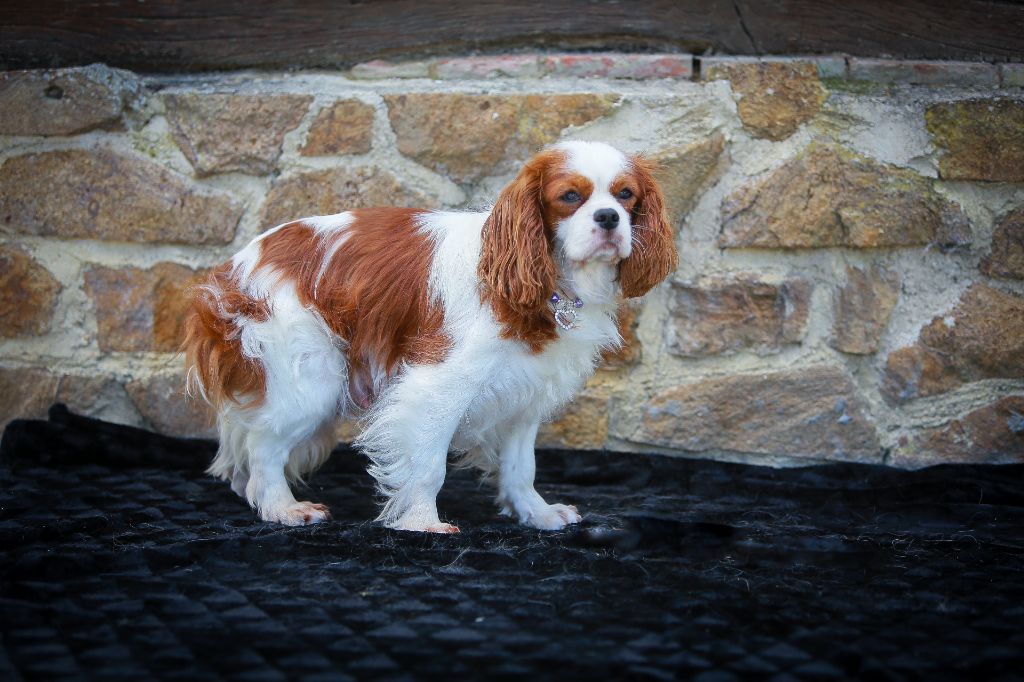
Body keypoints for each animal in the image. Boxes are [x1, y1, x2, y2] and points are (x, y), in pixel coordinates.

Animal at [184, 138, 679, 532]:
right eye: (570, 196)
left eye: (626, 195)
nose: (609, 217)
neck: (547, 281)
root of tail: (236, 265)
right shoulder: (437, 385)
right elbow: (428, 465)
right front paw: (422, 522)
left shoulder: (524, 395)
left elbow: (521, 466)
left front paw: (535, 514)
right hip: (309, 377)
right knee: (262, 446)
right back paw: (282, 508)